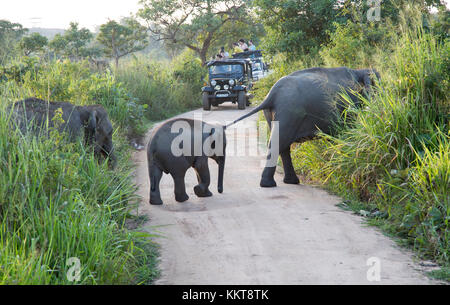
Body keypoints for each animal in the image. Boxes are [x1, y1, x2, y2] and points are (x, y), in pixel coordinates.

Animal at [229, 66, 380, 188]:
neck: (359, 71)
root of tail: (271, 95)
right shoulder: (349, 104)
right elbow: (346, 132)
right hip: (289, 111)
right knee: (280, 142)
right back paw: (269, 185)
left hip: (272, 114)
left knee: (283, 145)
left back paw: (290, 182)